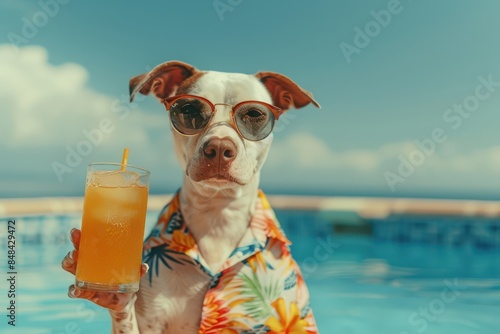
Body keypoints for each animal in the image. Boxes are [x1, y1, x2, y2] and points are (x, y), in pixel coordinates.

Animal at [61, 60, 320, 334]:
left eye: (254, 114)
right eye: (188, 110)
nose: (219, 147)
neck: (218, 213)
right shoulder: (150, 321)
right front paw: (113, 293)